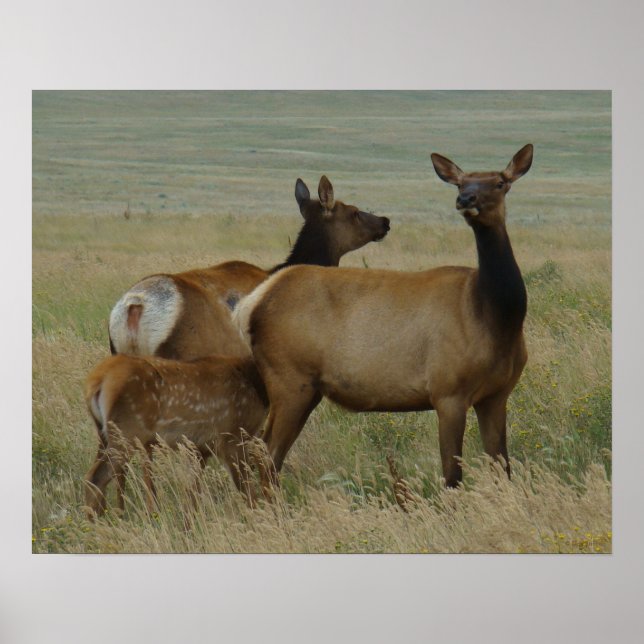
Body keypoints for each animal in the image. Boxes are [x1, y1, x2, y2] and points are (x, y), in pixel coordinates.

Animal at [235, 145, 533, 491]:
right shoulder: (447, 391)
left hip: (306, 387)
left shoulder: (496, 395)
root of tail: (251, 305)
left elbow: (503, 468)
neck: (496, 317)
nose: (466, 199)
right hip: (288, 377)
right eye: (460, 183)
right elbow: (452, 476)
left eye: (500, 182)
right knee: (264, 452)